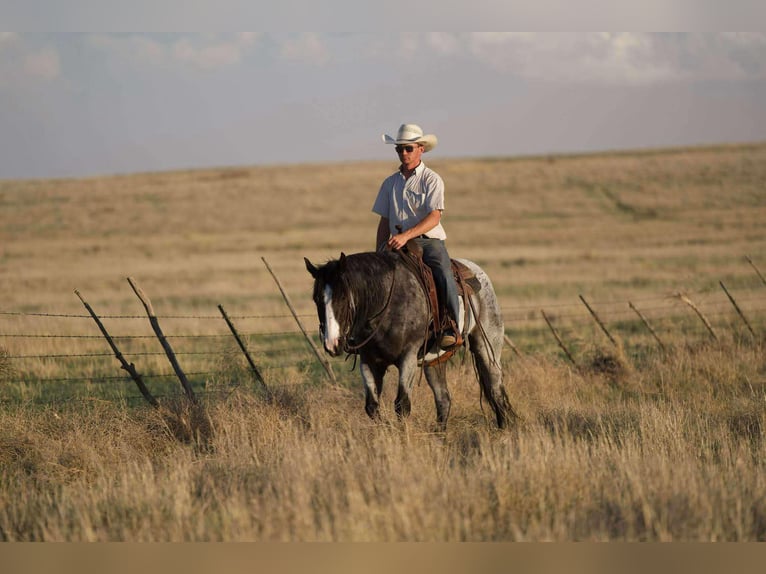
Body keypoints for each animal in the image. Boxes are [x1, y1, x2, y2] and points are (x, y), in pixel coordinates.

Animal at [304, 249, 516, 430]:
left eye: (342, 298)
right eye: (316, 299)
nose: (332, 344)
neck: (386, 303)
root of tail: (477, 272)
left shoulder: (408, 356)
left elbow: (402, 404)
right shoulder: (369, 361)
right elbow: (372, 406)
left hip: (487, 348)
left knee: (496, 390)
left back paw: (503, 430)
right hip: (435, 362)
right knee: (443, 399)